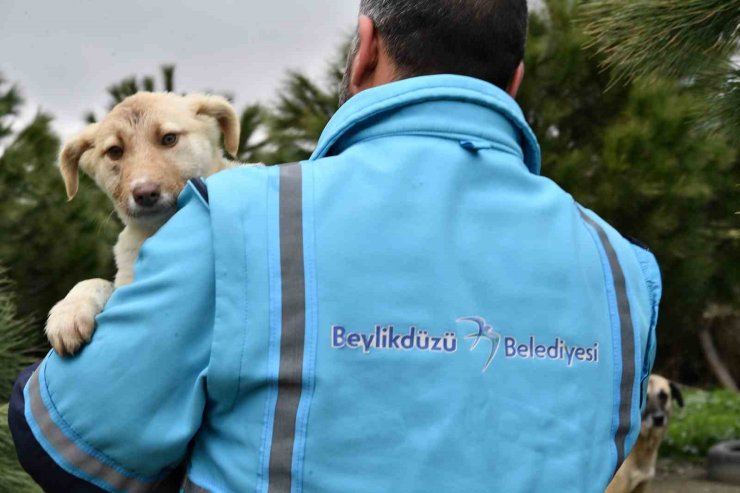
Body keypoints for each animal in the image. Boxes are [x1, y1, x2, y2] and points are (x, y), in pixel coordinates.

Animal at [47, 91, 254, 354]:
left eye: (169, 139)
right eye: (115, 151)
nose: (145, 194)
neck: (156, 229)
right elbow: (95, 280)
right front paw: (69, 312)